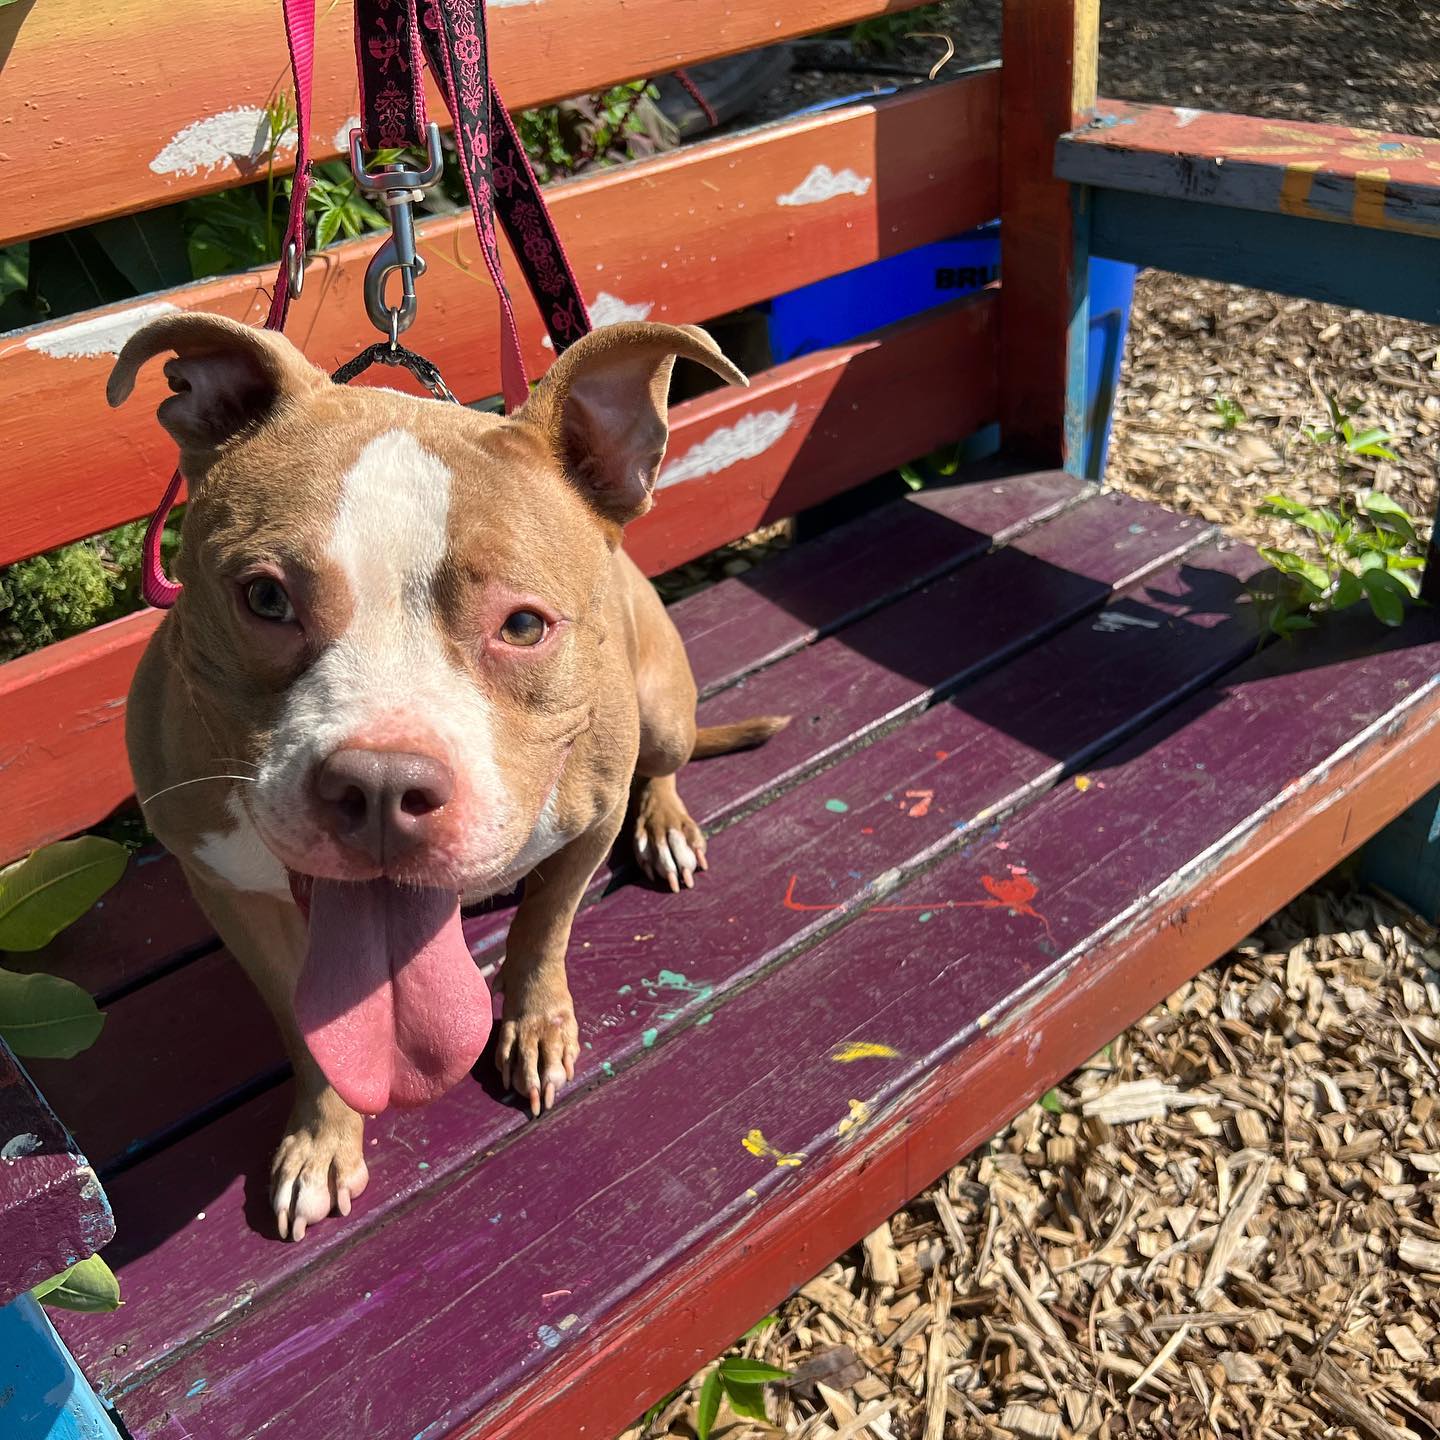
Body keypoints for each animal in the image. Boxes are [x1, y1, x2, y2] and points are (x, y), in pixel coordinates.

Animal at [109, 315, 789, 1238]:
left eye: (525, 625)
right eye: (265, 598)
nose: (381, 788)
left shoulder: (589, 820)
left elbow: (544, 931)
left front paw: (536, 1027)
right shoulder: (225, 886)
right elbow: (305, 1020)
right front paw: (323, 1136)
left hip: (661, 712)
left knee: (663, 767)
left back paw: (667, 824)